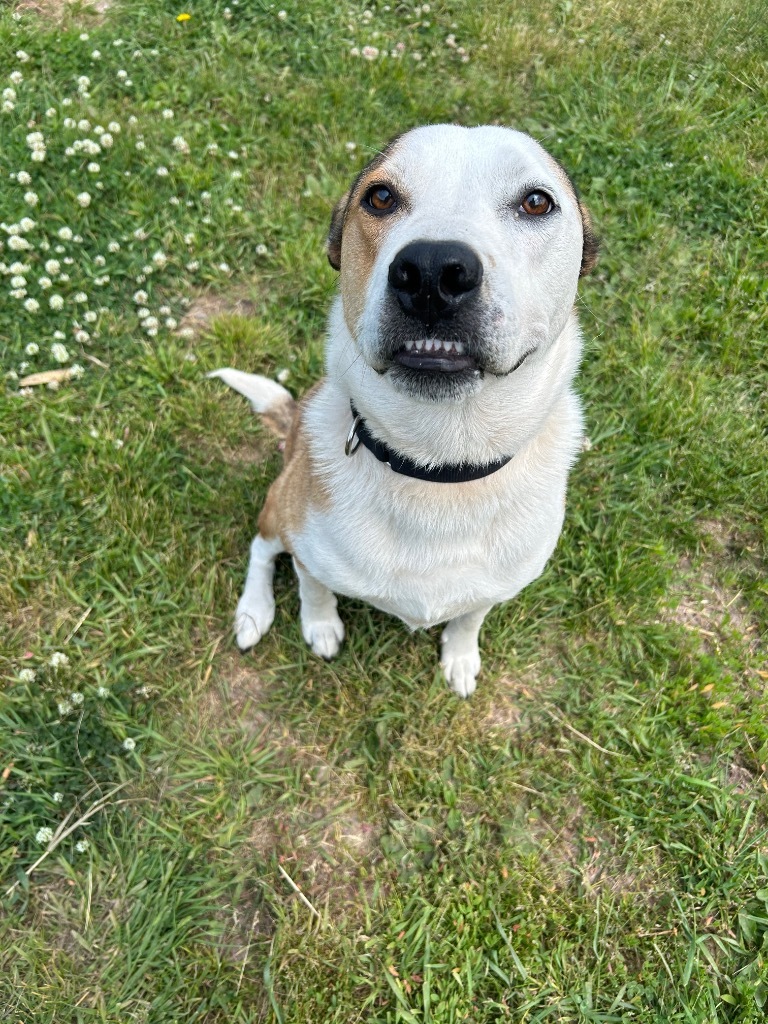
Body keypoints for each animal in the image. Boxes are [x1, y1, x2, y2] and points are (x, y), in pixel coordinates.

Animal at [211, 121, 602, 696]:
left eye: (536, 202)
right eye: (380, 197)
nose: (433, 271)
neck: (438, 465)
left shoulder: (496, 584)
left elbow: (471, 615)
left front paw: (460, 656)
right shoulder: (306, 548)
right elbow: (314, 589)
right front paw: (320, 626)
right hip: (279, 503)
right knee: (261, 549)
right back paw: (253, 612)